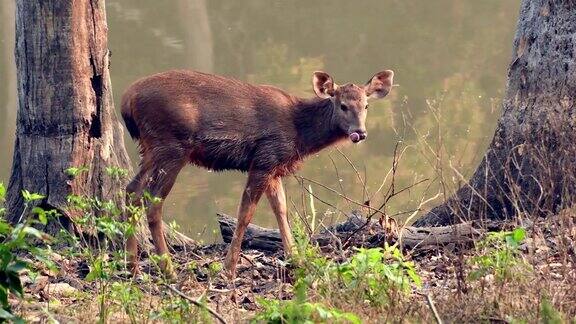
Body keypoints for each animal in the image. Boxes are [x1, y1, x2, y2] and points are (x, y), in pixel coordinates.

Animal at [120, 68, 392, 278]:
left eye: (366, 105)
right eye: (342, 105)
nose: (360, 132)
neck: (299, 134)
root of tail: (126, 101)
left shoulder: (274, 166)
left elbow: (281, 209)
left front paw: (295, 258)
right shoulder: (264, 158)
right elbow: (245, 214)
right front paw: (228, 269)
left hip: (151, 148)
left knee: (131, 190)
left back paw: (132, 266)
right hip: (171, 145)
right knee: (153, 202)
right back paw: (168, 271)